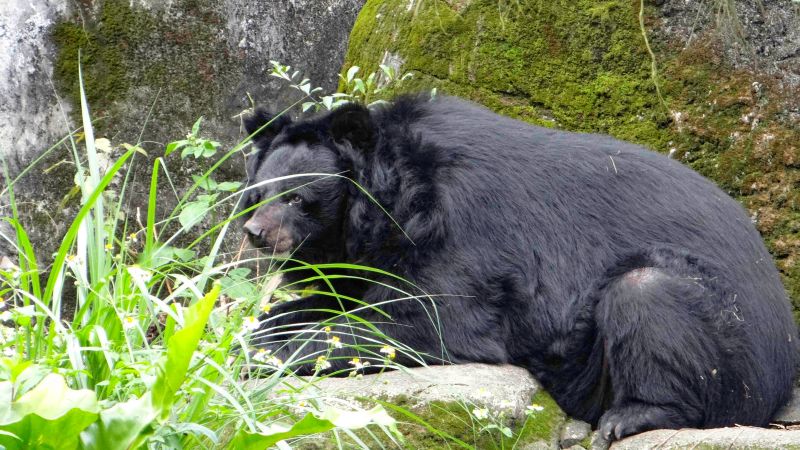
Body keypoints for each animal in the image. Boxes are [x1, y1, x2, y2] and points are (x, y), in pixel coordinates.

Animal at [242, 95, 800, 440]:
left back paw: (629, 418)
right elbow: (333, 299)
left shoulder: (463, 233)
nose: (254, 233)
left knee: (646, 295)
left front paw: (273, 356)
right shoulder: (373, 255)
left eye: (297, 199)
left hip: (722, 332)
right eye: (258, 194)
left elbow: (428, 318)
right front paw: (259, 335)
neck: (398, 200)